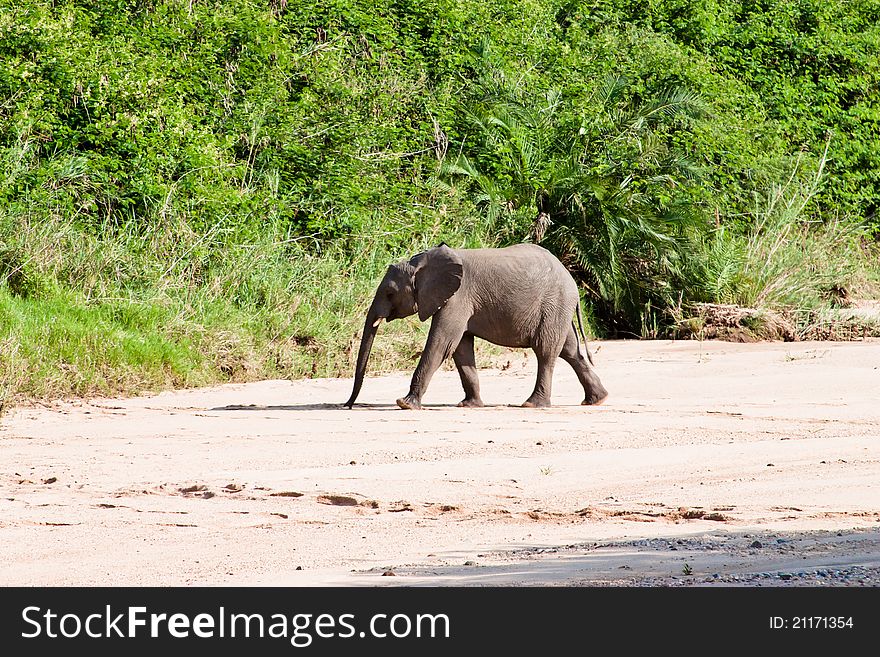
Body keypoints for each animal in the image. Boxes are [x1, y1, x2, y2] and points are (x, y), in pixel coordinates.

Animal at [342, 243, 604, 408]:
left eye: (390, 293)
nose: (348, 405)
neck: (420, 263)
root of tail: (572, 282)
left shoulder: (458, 297)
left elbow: (441, 344)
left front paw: (405, 404)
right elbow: (461, 349)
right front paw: (468, 405)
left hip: (553, 304)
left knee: (546, 352)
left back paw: (532, 405)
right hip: (557, 309)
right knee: (570, 351)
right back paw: (597, 400)